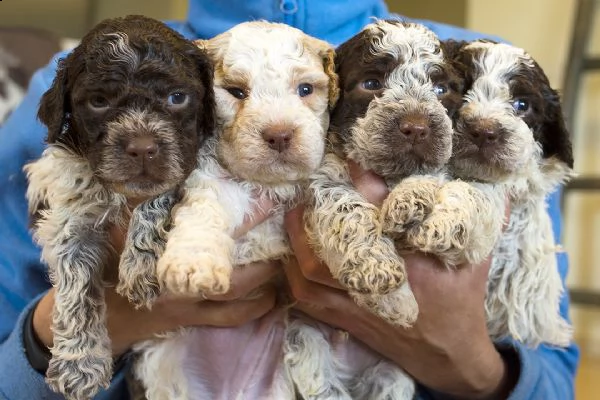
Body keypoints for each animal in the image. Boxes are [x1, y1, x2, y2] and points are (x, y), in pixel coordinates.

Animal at [24, 15, 216, 400]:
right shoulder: (71, 221)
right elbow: (76, 288)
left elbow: (160, 191)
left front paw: (141, 264)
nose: (142, 148)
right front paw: (79, 363)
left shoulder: (187, 160)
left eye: (177, 97)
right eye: (99, 102)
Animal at [116, 21, 338, 400]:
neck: (268, 183)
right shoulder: (209, 181)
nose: (280, 134)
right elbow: (203, 216)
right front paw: (191, 265)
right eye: (236, 91)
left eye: (305, 89)